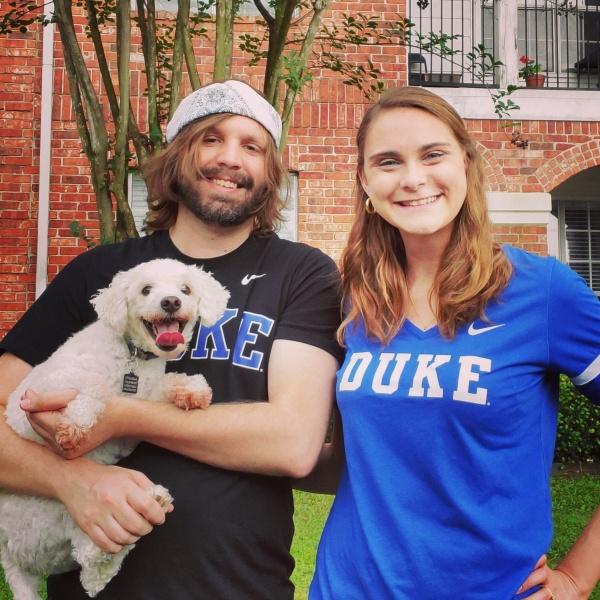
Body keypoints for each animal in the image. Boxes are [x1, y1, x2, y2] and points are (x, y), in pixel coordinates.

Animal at [0, 258, 230, 600]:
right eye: (146, 289)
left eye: (185, 289)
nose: (171, 302)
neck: (132, 358)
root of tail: (12, 561)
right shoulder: (30, 397)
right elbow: (94, 383)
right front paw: (76, 422)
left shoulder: (131, 426)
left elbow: (163, 387)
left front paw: (190, 389)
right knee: (90, 566)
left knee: (92, 571)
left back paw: (150, 507)